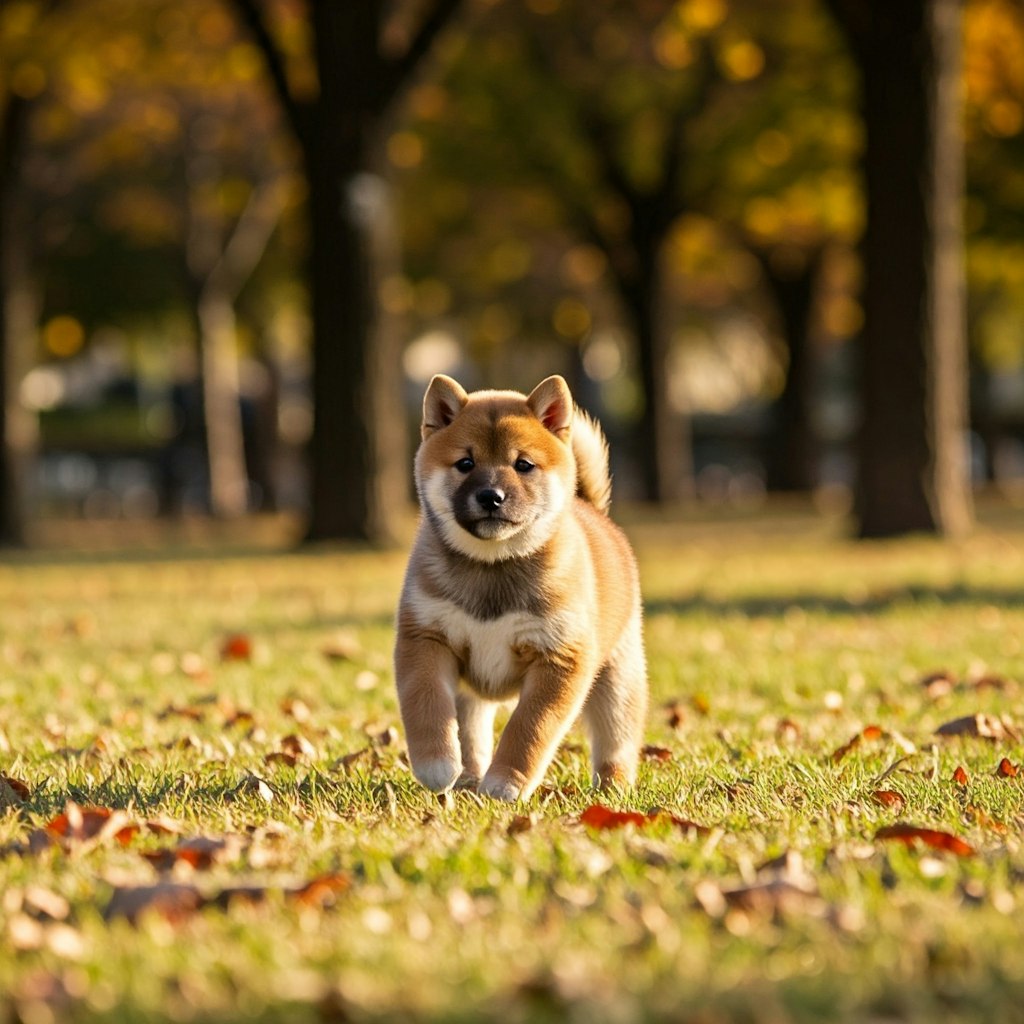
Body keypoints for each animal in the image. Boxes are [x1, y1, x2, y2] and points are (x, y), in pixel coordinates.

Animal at [393, 372, 647, 802]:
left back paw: (613, 786)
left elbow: (529, 728)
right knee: (471, 734)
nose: (491, 496)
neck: (493, 566)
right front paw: (436, 764)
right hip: (471, 691)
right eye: (465, 463)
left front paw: (505, 783)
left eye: (523, 465)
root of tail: (594, 511)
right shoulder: (425, 638)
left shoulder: (559, 657)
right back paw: (467, 779)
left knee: (617, 738)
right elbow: (425, 703)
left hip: (617, 680)